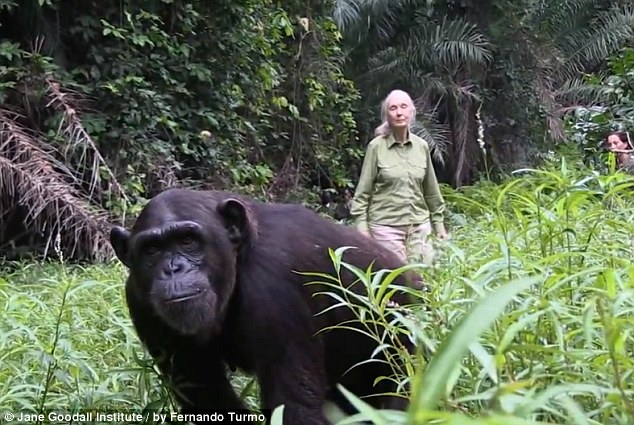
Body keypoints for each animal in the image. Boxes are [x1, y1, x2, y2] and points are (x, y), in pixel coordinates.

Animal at [108, 189, 418, 424]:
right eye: (151, 250)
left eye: (187, 240)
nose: (173, 268)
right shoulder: (141, 304)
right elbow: (209, 399)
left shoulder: (274, 286)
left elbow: (293, 408)